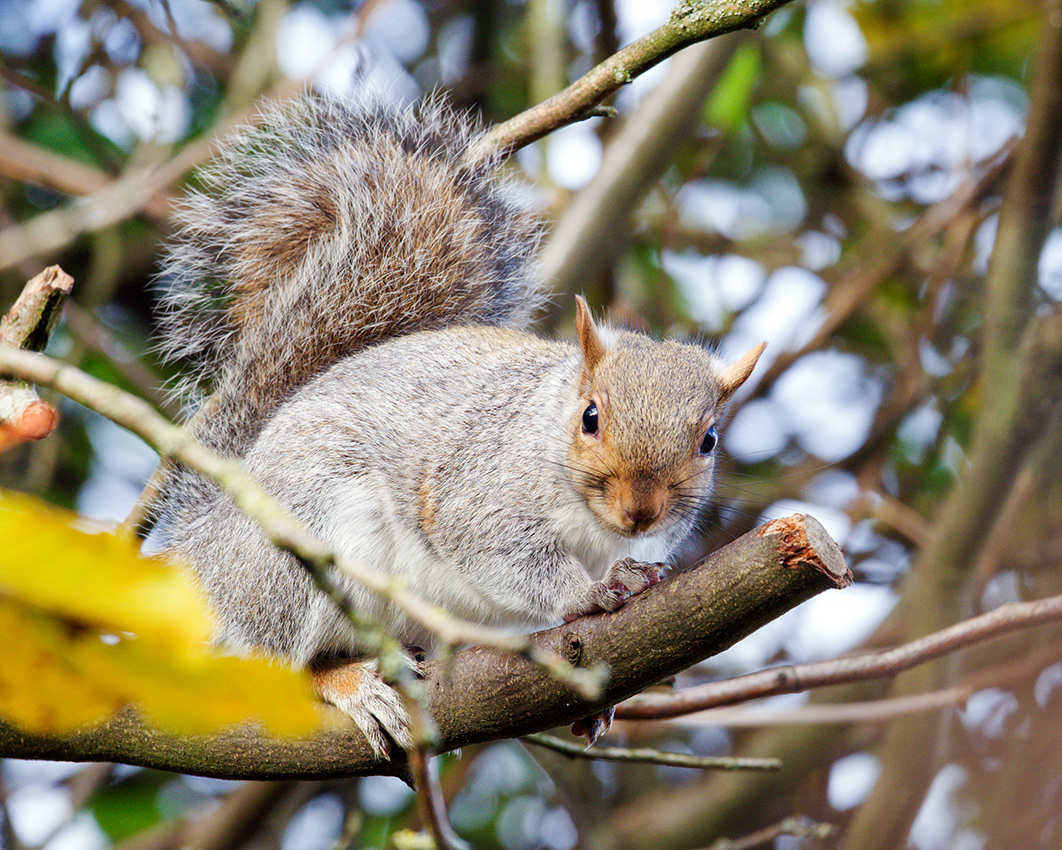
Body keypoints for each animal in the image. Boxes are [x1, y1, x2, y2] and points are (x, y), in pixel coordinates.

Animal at [153, 90, 766, 759]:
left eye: (708, 441)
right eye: (591, 417)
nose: (640, 512)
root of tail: (203, 553)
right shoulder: (477, 491)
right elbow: (502, 552)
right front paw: (587, 593)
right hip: (300, 543)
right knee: (276, 657)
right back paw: (352, 685)